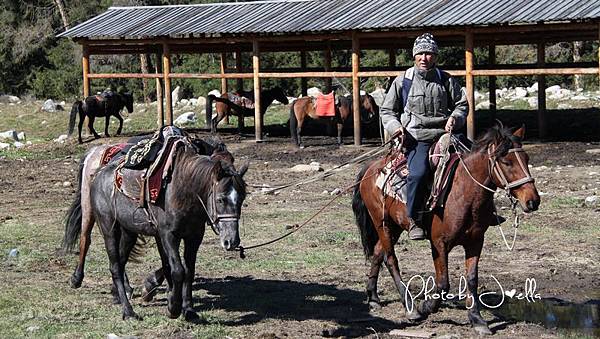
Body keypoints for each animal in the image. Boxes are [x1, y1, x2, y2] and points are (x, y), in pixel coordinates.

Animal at [352, 126, 540, 336]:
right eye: (506, 162)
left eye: (526, 159)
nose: (533, 201)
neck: (464, 192)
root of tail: (371, 167)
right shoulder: (439, 244)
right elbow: (443, 283)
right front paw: (425, 307)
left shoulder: (475, 241)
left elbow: (472, 279)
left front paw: (477, 320)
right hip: (381, 222)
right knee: (391, 259)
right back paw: (410, 307)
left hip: (395, 226)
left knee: (378, 252)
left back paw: (373, 297)